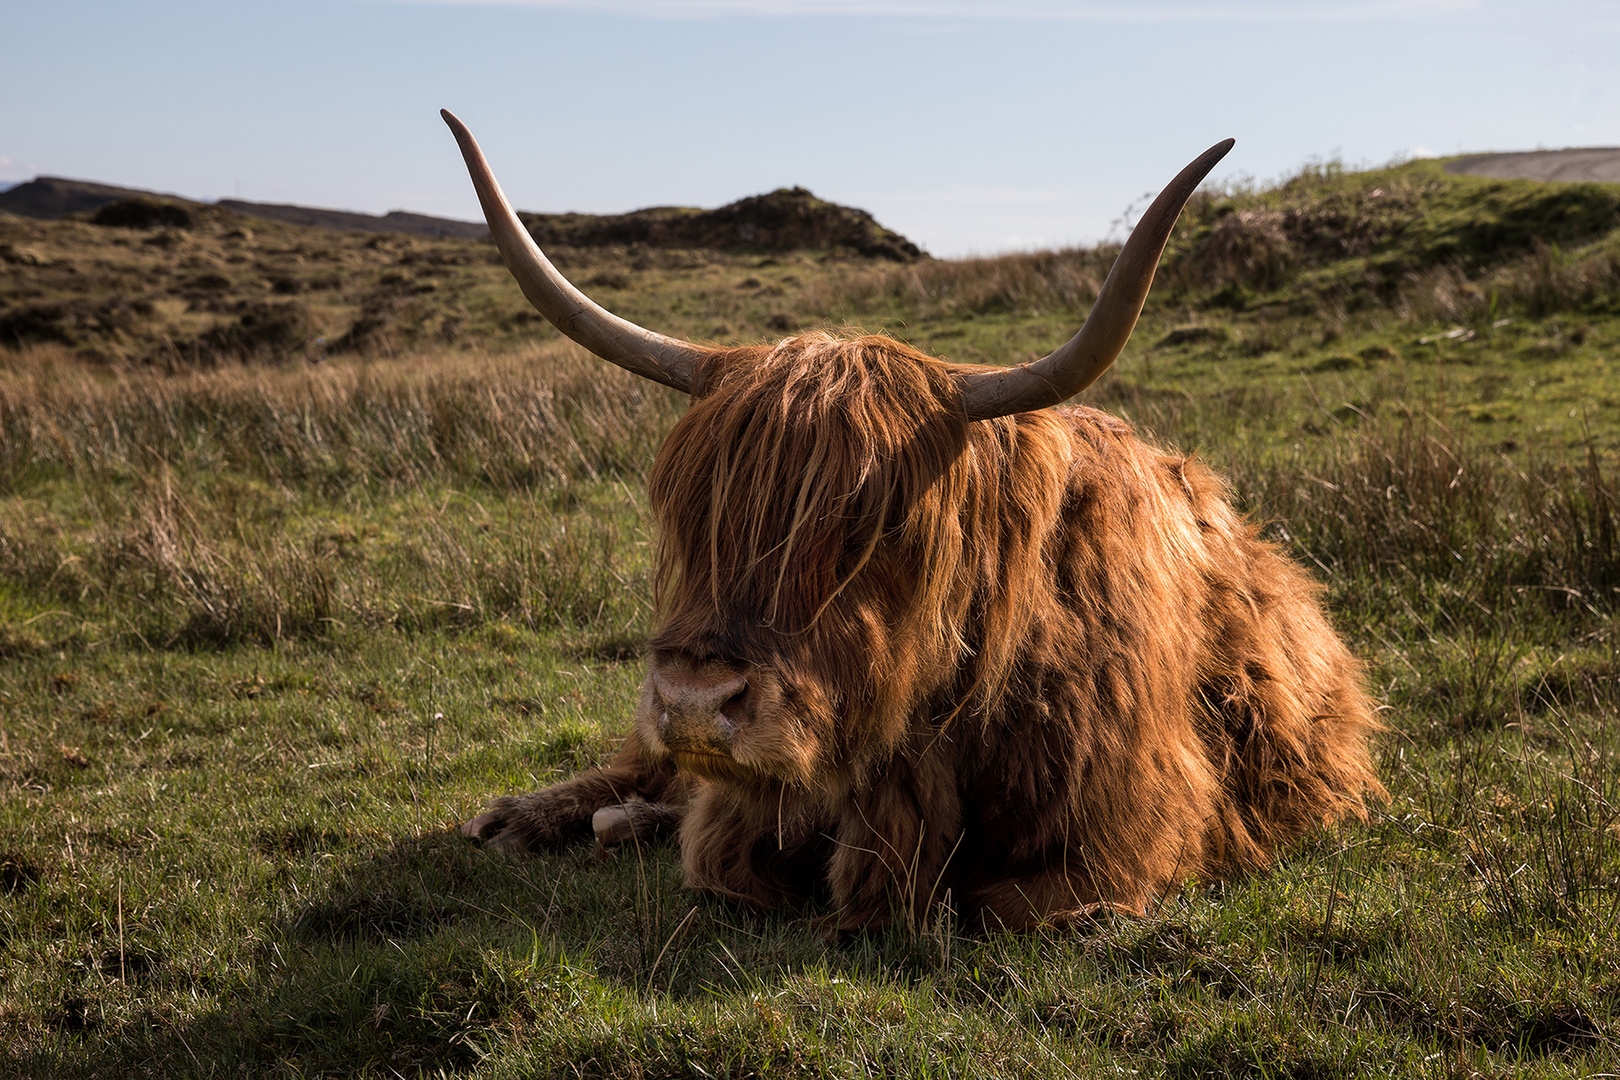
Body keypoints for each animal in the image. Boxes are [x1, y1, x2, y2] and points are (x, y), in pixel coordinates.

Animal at [443, 111, 1380, 939]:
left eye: (878, 525)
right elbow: (718, 857)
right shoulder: (734, 823)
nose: (695, 700)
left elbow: (1009, 905)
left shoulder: (1121, 840)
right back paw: (522, 817)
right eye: (694, 510)